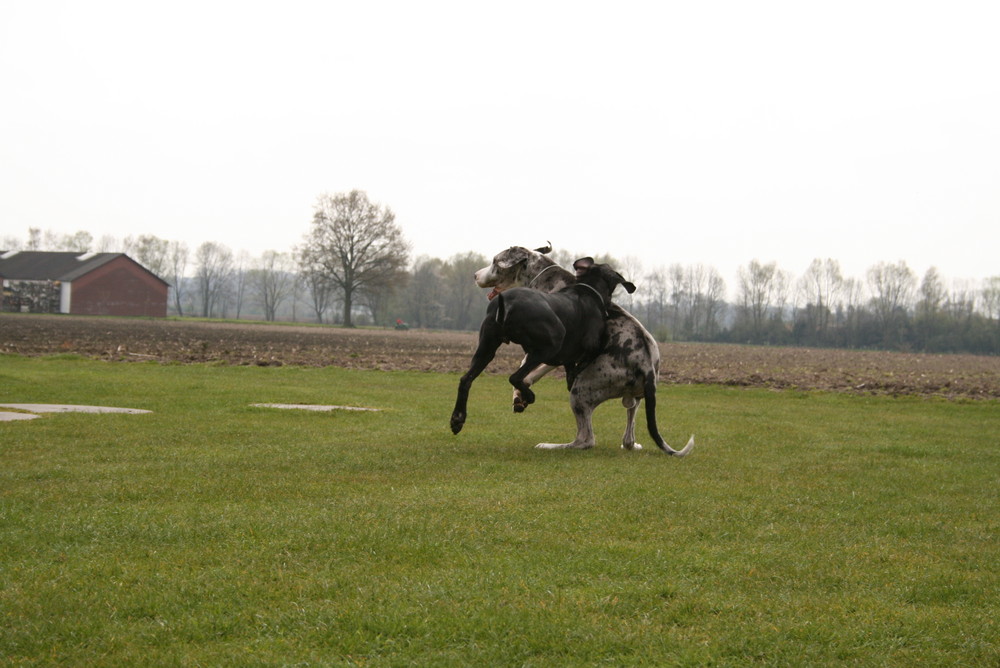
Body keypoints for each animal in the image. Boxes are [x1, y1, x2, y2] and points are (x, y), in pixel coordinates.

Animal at [452, 256, 632, 434]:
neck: (589, 289)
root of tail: (509, 304)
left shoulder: (568, 357)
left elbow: (570, 372)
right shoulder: (591, 350)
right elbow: (576, 371)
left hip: (486, 350)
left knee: (465, 380)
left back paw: (457, 418)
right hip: (549, 345)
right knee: (515, 377)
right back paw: (529, 396)